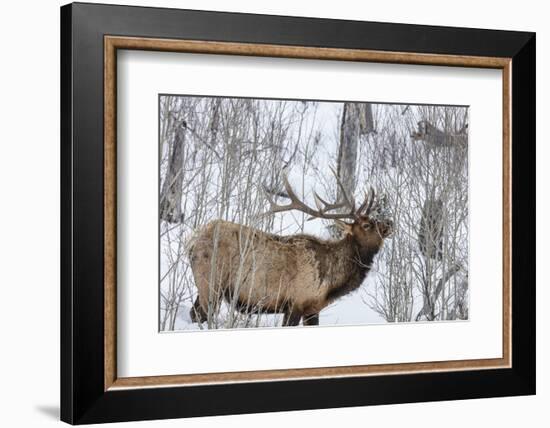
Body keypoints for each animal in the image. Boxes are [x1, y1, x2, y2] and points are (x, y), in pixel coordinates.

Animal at [189, 171, 392, 328]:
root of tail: (192, 241)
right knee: (201, 315)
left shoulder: (312, 308)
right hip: (210, 282)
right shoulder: (296, 302)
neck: (331, 282)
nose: (390, 223)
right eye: (367, 225)